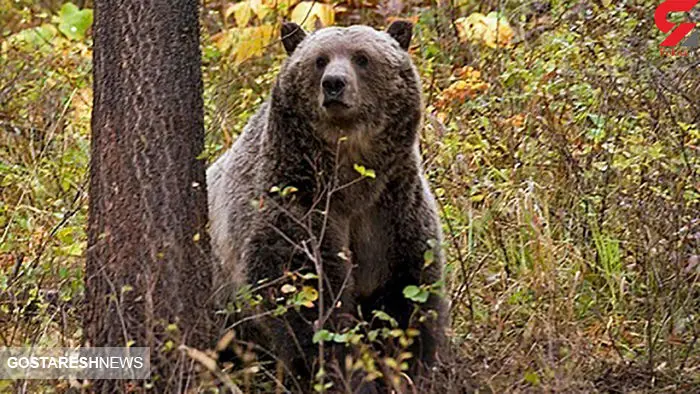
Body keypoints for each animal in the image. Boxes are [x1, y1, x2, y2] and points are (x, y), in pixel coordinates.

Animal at [208, 20, 448, 388]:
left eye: (362, 57)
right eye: (319, 59)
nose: (334, 84)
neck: (351, 181)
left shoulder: (392, 210)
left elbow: (407, 296)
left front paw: (409, 369)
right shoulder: (297, 203)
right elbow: (308, 300)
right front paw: (346, 375)